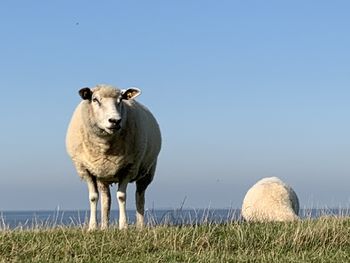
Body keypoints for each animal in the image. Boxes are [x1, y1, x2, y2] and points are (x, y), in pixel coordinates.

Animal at [65, 85, 161, 231]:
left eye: (120, 100)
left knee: (139, 196)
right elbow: (93, 197)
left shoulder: (128, 168)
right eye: (95, 99)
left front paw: (123, 226)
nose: (115, 121)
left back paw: (140, 226)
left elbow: (121, 197)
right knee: (106, 199)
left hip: (148, 172)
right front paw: (92, 227)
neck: (104, 146)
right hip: (102, 175)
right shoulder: (85, 169)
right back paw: (105, 226)